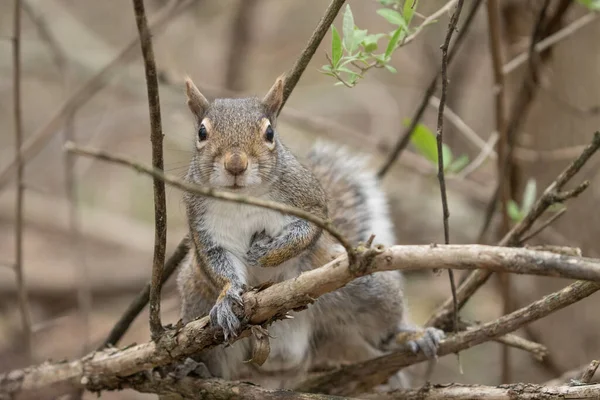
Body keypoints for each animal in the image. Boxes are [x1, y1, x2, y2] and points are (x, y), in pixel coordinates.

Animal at [176, 74, 442, 388]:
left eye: (270, 133)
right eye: (202, 132)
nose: (235, 164)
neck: (243, 197)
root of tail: (282, 366)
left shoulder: (310, 200)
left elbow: (307, 232)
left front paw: (268, 255)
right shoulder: (201, 225)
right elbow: (216, 264)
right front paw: (228, 297)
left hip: (365, 289)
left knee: (382, 327)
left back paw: (410, 336)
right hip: (196, 297)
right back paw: (196, 368)